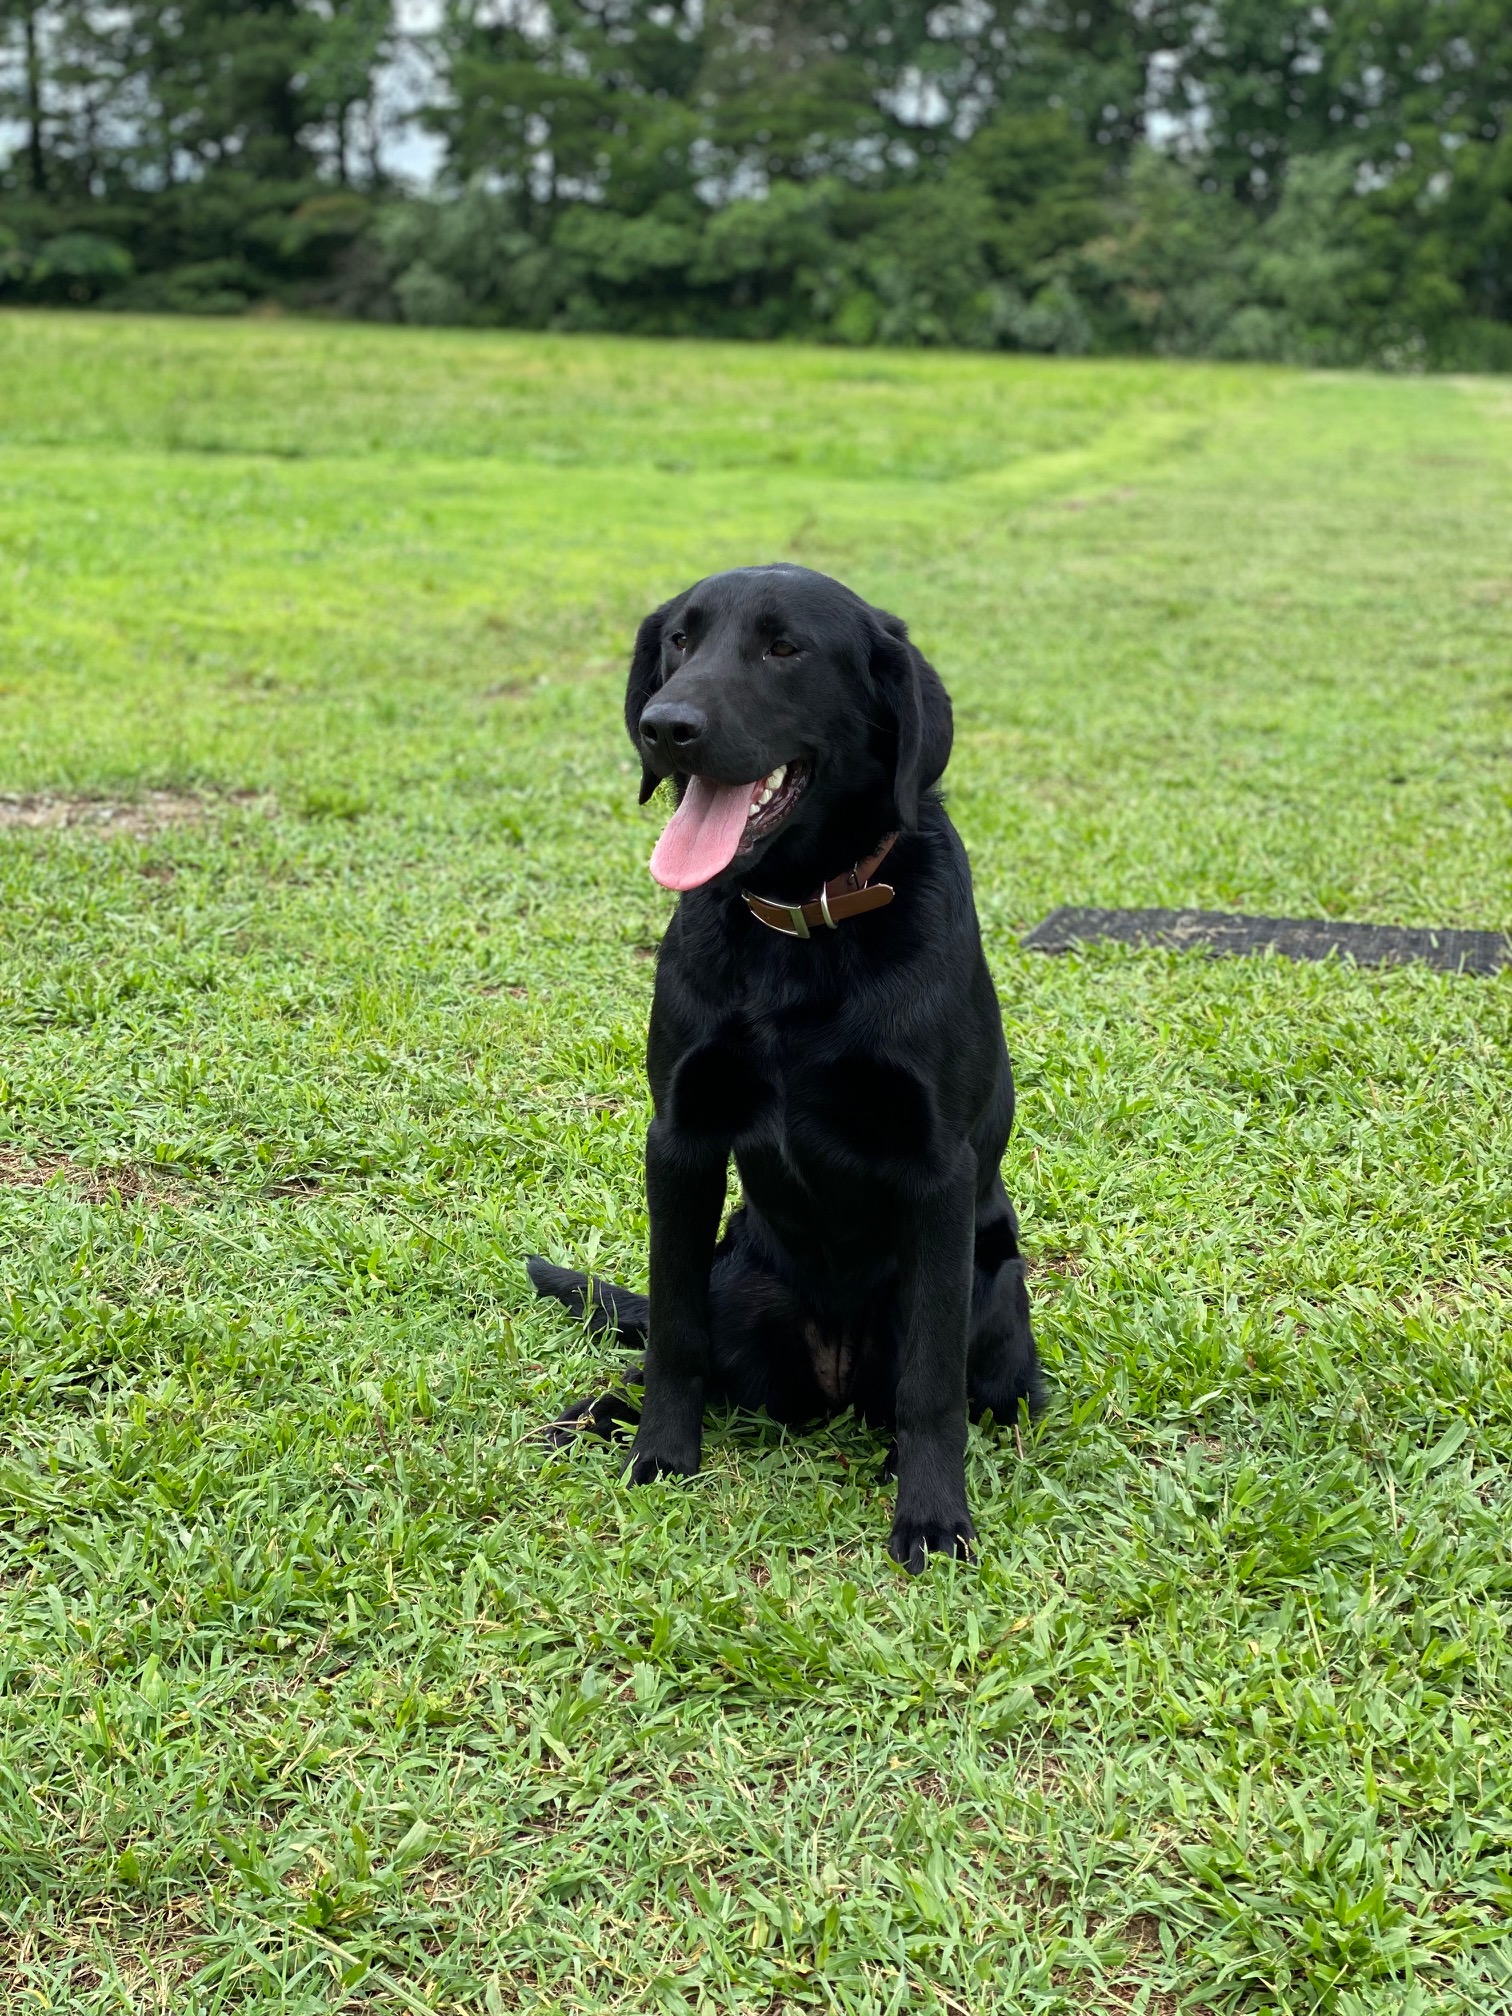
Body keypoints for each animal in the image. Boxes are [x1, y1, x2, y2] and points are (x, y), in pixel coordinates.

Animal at [528, 560, 1040, 1564]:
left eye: (784, 648)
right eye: (680, 641)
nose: (665, 727)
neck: (801, 926)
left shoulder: (937, 1172)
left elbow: (929, 1385)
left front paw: (932, 1517)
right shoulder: (680, 1138)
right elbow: (674, 1336)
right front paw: (659, 1456)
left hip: (994, 1290)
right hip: (736, 1276)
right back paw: (597, 1413)